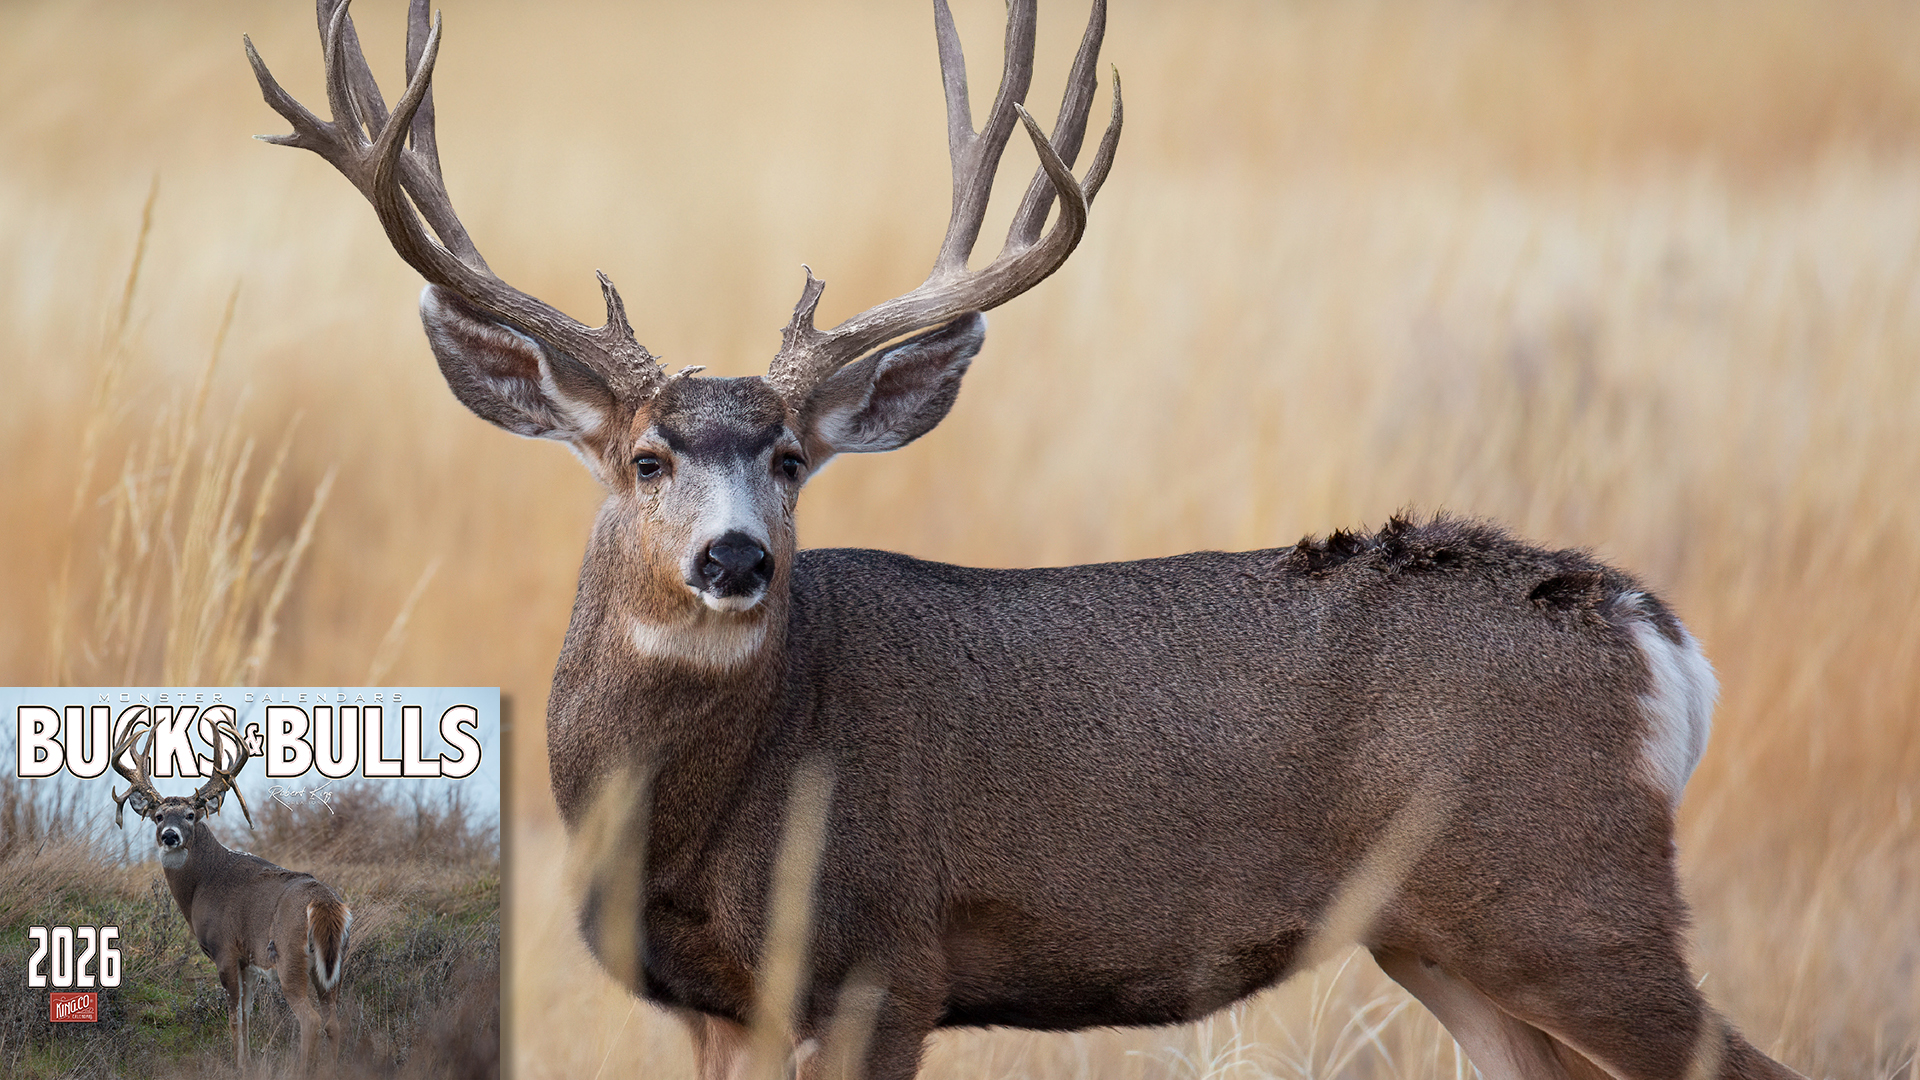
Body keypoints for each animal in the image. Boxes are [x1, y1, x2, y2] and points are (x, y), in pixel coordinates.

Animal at [110, 717, 351, 1074]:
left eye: (190, 815)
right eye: (158, 816)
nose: (170, 836)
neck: (203, 885)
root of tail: (323, 903)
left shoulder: (224, 949)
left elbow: (234, 1016)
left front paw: (240, 1065)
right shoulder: (248, 961)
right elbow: (248, 1016)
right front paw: (248, 1061)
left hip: (290, 956)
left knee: (309, 1020)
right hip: (333, 968)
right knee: (334, 1022)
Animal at [244, 1, 1805, 1078]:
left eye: (793, 460)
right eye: (645, 457)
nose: (738, 561)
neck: (693, 821)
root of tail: (1655, 634)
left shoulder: (884, 958)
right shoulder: (711, 1005)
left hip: (1577, 899)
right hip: (1449, 940)